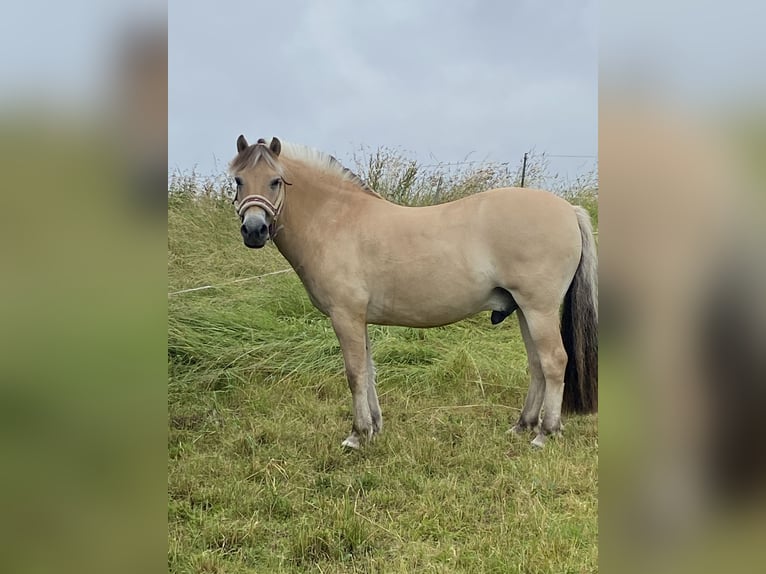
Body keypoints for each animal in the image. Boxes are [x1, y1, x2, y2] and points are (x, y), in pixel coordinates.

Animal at [229, 135, 598, 449]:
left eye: (276, 180)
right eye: (238, 180)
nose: (254, 230)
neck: (337, 220)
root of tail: (569, 210)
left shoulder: (345, 317)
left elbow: (354, 373)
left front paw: (357, 435)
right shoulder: (358, 319)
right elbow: (368, 371)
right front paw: (374, 427)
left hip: (539, 309)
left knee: (554, 362)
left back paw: (545, 433)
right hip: (523, 310)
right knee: (537, 364)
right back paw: (522, 425)